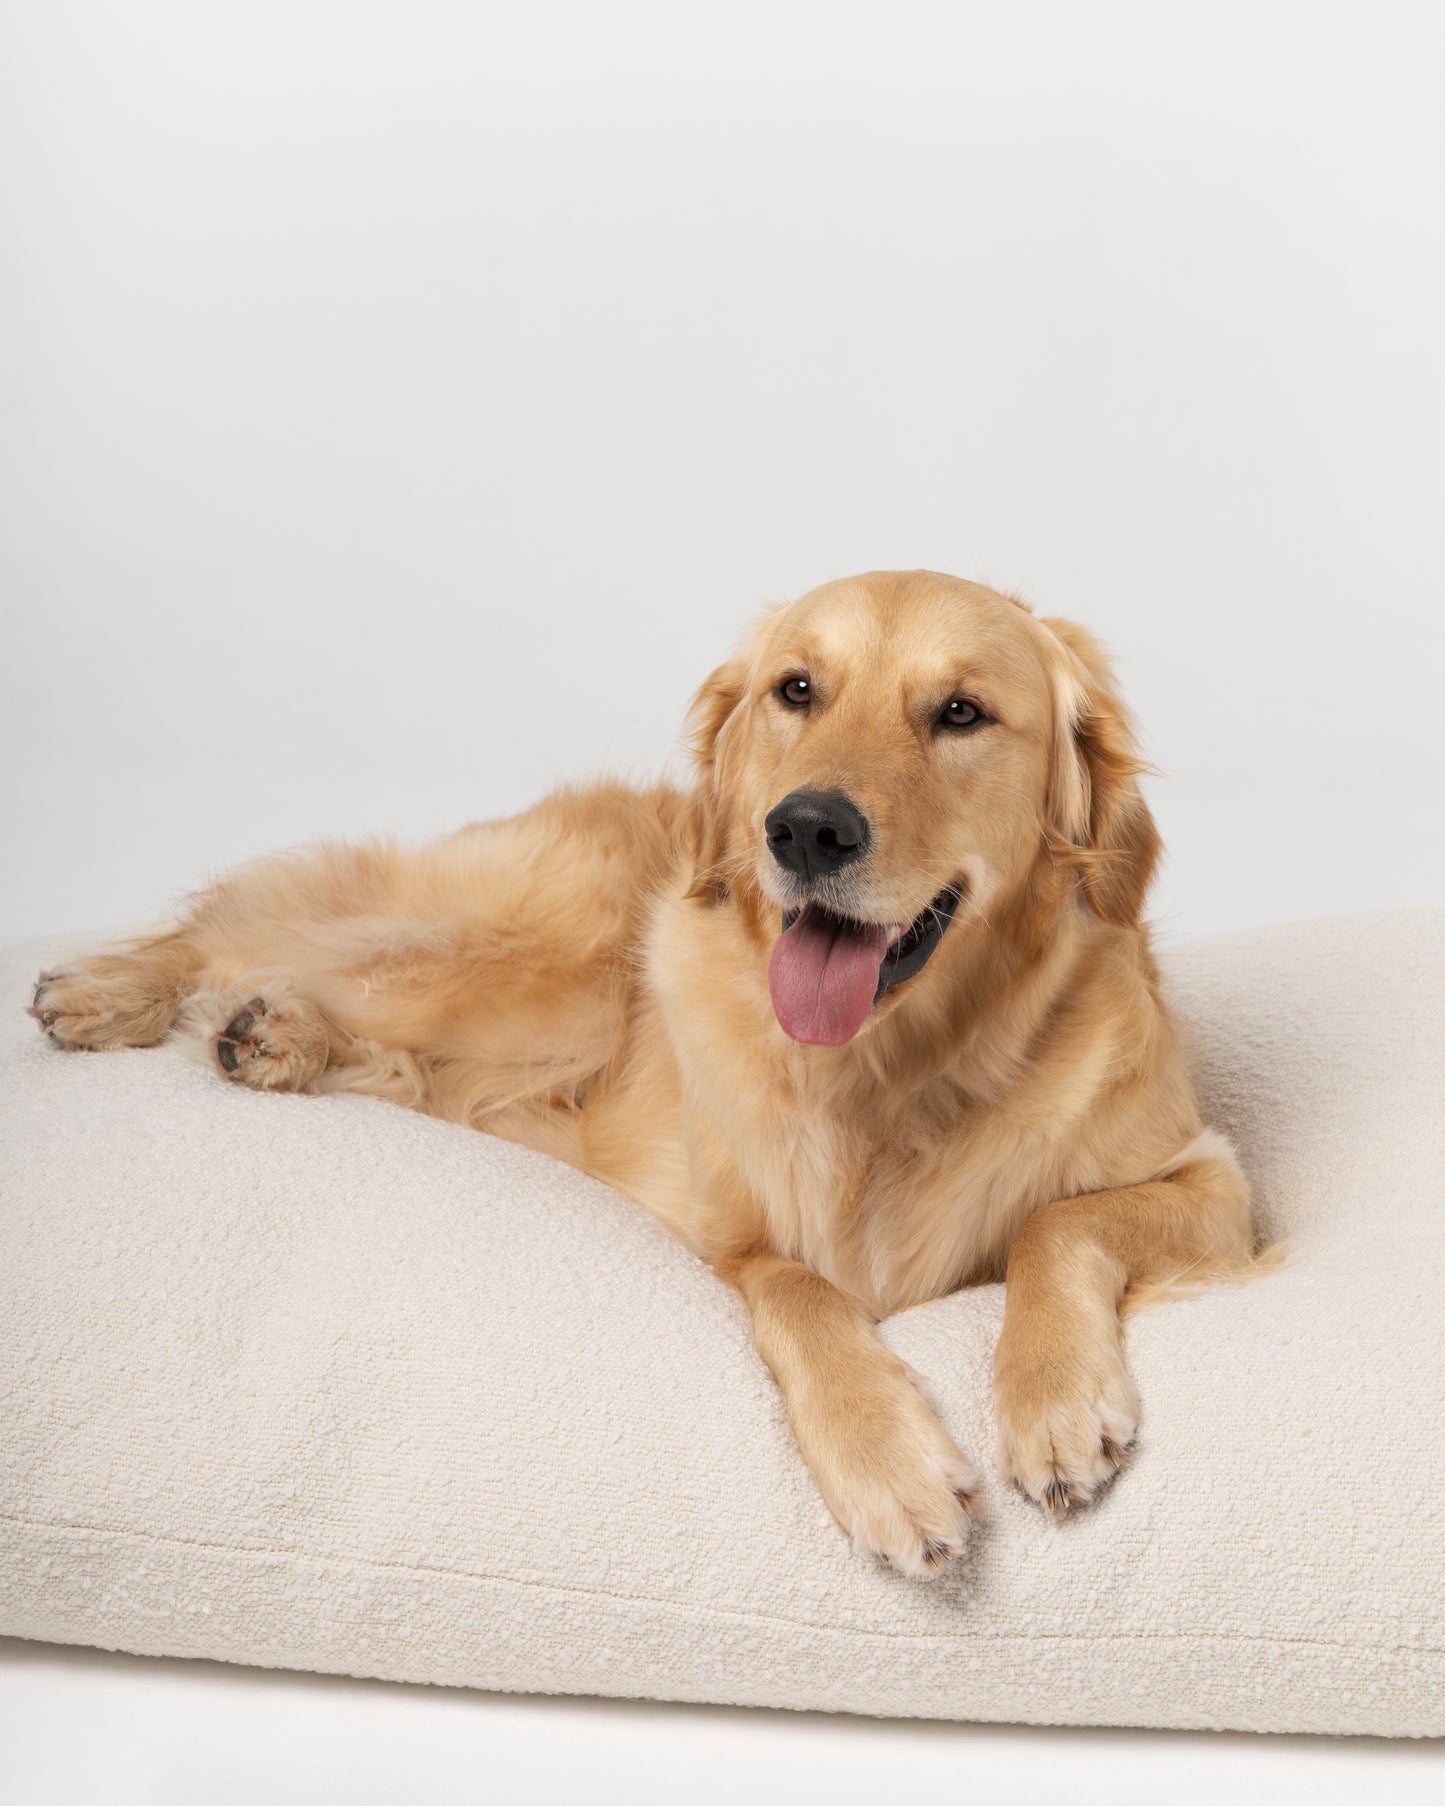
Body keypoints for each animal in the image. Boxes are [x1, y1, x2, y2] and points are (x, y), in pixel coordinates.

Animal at [33, 570, 1249, 1574]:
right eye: (796, 690)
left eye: (961, 712)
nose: (806, 828)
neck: (890, 1069)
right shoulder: (730, 1236)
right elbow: (798, 1291)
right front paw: (889, 1467)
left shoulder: (1216, 1185)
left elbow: (1057, 1220)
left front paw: (1050, 1400)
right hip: (524, 963)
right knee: (245, 922)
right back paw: (113, 991)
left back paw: (273, 1034)